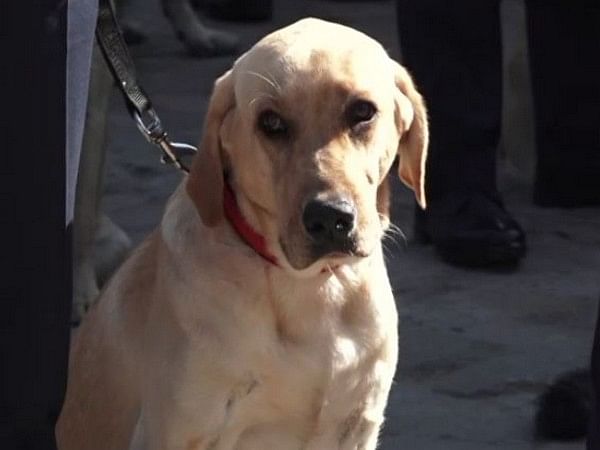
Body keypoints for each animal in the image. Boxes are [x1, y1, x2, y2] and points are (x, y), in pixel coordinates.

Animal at [56, 18, 428, 450]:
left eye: (362, 112)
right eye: (271, 123)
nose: (330, 218)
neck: (309, 290)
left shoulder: (357, 426)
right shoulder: (175, 432)